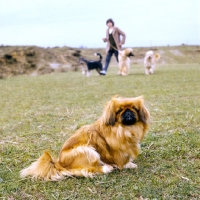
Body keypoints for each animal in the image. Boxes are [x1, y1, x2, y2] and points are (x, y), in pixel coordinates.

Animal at [20, 95, 150, 181]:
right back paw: (107, 168)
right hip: (87, 150)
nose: (128, 112)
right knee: (86, 170)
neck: (124, 129)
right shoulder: (118, 151)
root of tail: (59, 163)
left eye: (134, 108)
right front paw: (128, 165)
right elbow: (122, 161)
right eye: (119, 111)